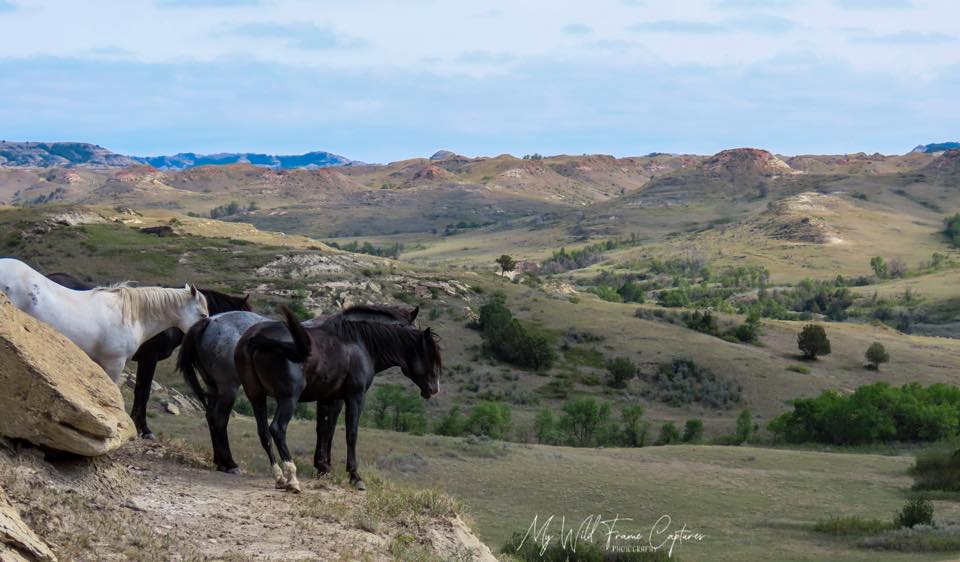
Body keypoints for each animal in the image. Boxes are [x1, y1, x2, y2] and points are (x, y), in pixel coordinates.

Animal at [176, 304, 416, 480]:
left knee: (212, 418)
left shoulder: (327, 397)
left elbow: (324, 428)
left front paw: (323, 465)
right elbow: (328, 429)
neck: (348, 339)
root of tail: (209, 322)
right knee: (220, 420)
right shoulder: (337, 399)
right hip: (229, 389)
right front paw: (324, 466)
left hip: (215, 389)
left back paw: (220, 461)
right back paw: (229, 463)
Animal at [234, 304, 444, 492]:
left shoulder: (331, 398)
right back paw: (292, 479)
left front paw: (323, 468)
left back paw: (279, 477)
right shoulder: (355, 397)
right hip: (288, 399)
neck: (359, 342)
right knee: (277, 429)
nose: (434, 388)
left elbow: (325, 430)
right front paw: (354, 476)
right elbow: (351, 433)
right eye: (430, 354)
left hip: (257, 398)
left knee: (264, 434)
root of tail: (254, 338)